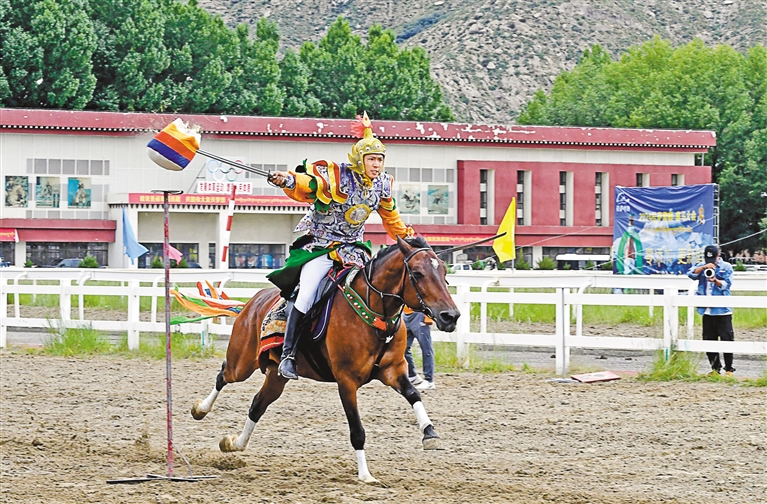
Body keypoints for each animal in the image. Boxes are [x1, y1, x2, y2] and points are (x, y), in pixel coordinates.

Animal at [190, 234, 460, 482]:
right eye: (417, 273)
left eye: (444, 271)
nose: (451, 316)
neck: (373, 315)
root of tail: (252, 301)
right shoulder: (346, 381)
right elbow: (357, 429)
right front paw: (365, 475)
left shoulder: (393, 370)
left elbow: (414, 395)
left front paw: (430, 433)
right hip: (242, 363)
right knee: (223, 375)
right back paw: (200, 409)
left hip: (276, 375)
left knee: (257, 405)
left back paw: (234, 443)